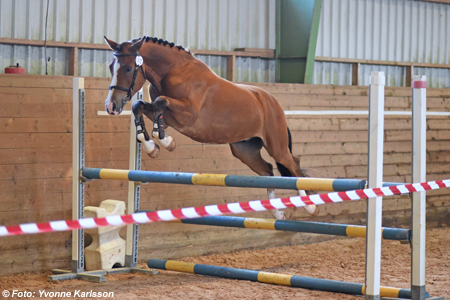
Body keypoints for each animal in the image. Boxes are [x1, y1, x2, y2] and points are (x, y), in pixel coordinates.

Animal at [103, 37, 318, 218]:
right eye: (111, 67)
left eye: (129, 68)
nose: (111, 106)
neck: (174, 71)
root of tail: (273, 102)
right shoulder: (172, 118)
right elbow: (141, 106)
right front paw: (151, 146)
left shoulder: (188, 115)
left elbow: (159, 102)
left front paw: (165, 141)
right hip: (244, 150)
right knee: (267, 171)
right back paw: (277, 213)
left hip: (276, 146)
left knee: (293, 165)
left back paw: (310, 206)